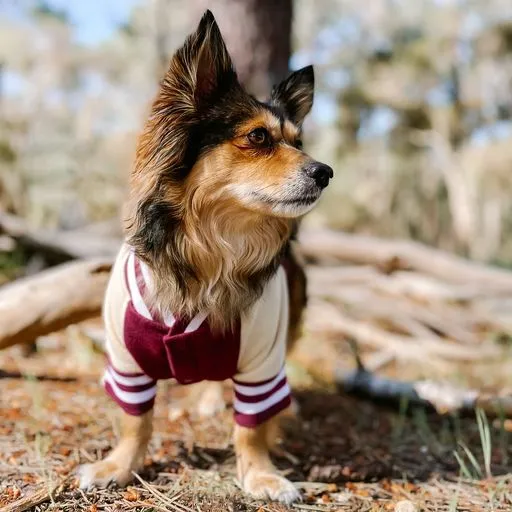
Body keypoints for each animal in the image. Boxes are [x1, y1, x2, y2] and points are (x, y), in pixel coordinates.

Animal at [79, 11, 332, 504]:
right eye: (258, 137)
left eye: (298, 142)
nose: (326, 172)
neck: (214, 249)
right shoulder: (126, 362)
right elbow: (136, 422)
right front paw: (118, 466)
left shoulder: (263, 364)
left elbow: (251, 428)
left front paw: (260, 475)